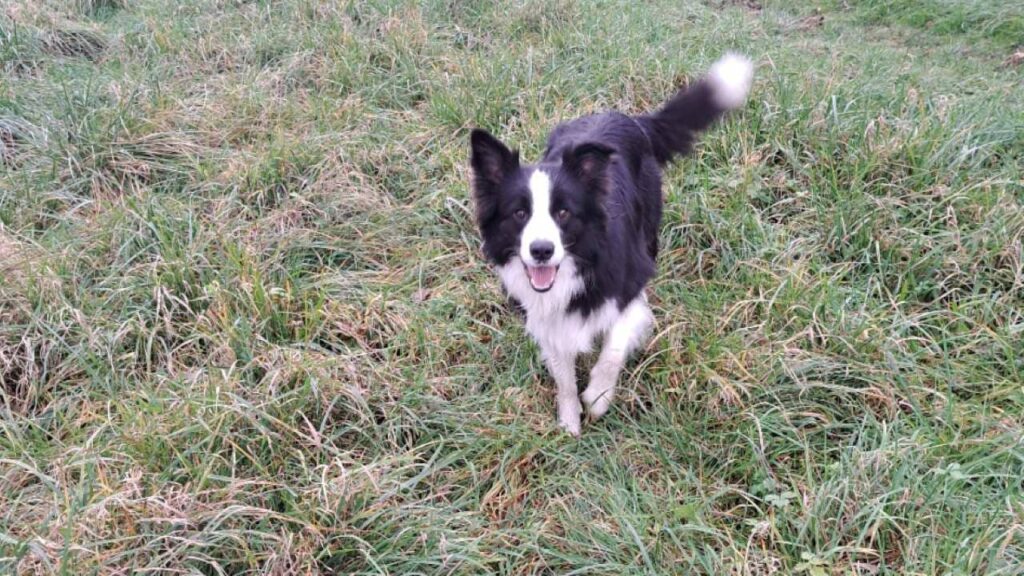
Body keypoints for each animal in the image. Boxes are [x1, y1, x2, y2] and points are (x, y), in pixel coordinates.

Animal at [468, 53, 753, 432]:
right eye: (519, 213)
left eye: (563, 212)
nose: (541, 251)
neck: (580, 264)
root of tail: (628, 118)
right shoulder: (546, 318)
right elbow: (563, 377)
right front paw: (570, 420)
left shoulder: (630, 288)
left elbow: (613, 348)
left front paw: (598, 397)